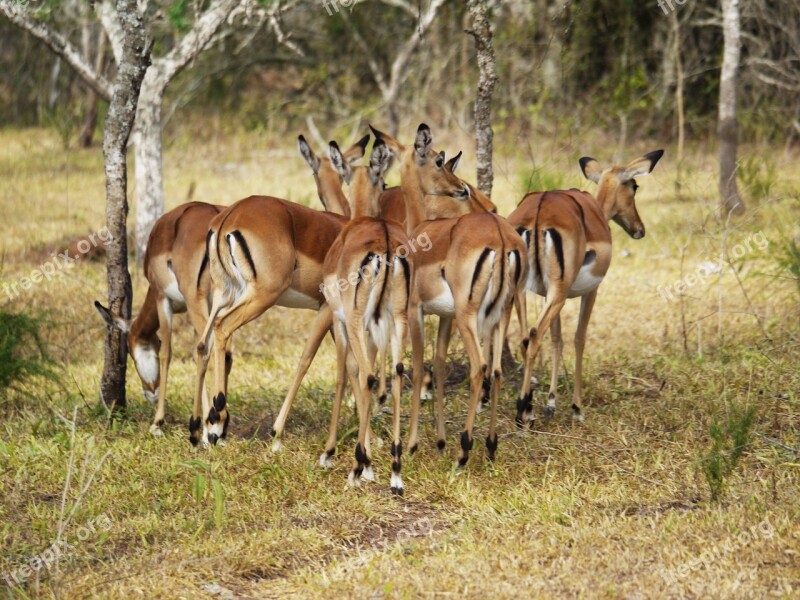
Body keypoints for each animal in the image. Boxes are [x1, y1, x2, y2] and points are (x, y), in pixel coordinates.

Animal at [372, 123, 528, 468]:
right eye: (439, 160)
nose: (460, 188)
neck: (419, 229)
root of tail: (502, 237)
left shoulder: (415, 310)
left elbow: (418, 369)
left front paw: (412, 444)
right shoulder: (445, 316)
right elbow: (440, 367)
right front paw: (440, 441)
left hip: (469, 316)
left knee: (479, 368)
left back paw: (464, 449)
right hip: (499, 313)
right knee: (496, 370)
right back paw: (491, 445)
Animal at [510, 150, 664, 424]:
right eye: (634, 186)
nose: (639, 229)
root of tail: (539, 210)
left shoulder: (549, 294)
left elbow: (557, 339)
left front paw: (551, 403)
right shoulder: (591, 291)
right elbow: (579, 338)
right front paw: (577, 408)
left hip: (526, 292)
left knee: (525, 337)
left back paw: (526, 407)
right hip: (558, 293)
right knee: (535, 335)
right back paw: (524, 411)